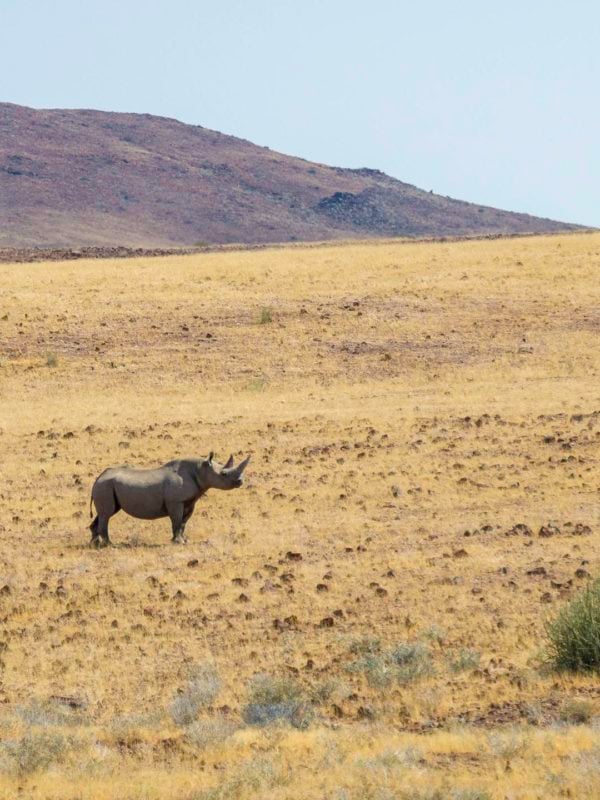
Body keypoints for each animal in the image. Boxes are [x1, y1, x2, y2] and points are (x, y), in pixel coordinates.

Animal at [88, 454, 250, 548]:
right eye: (224, 474)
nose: (241, 481)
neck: (200, 470)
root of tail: (98, 478)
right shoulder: (175, 501)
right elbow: (177, 521)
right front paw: (178, 542)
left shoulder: (189, 502)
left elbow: (183, 523)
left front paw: (183, 540)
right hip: (105, 486)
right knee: (107, 515)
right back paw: (110, 545)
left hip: (106, 486)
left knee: (103, 514)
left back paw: (96, 544)